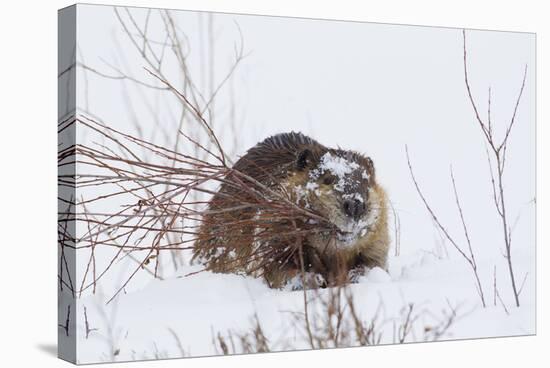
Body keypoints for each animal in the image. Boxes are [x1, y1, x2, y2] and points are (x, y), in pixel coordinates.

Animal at [192, 132, 390, 290]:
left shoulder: (378, 238)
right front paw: (313, 279)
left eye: (367, 184)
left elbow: (374, 262)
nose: (355, 205)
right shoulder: (270, 223)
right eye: (327, 179)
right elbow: (276, 266)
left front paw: (356, 276)